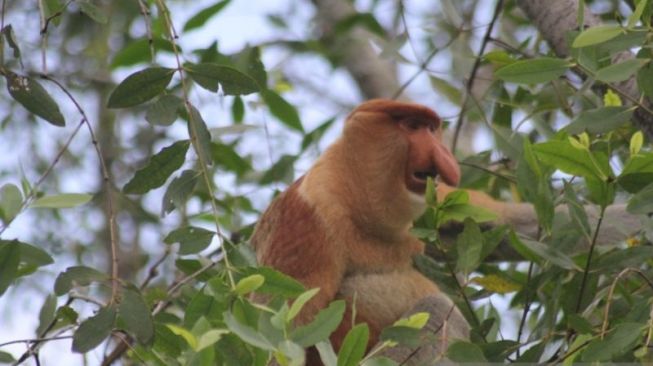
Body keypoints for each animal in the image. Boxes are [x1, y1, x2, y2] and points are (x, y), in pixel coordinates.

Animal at [252, 98, 502, 362]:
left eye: (431, 129)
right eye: (412, 126)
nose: (445, 155)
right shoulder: (307, 221)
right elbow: (285, 335)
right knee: (439, 308)